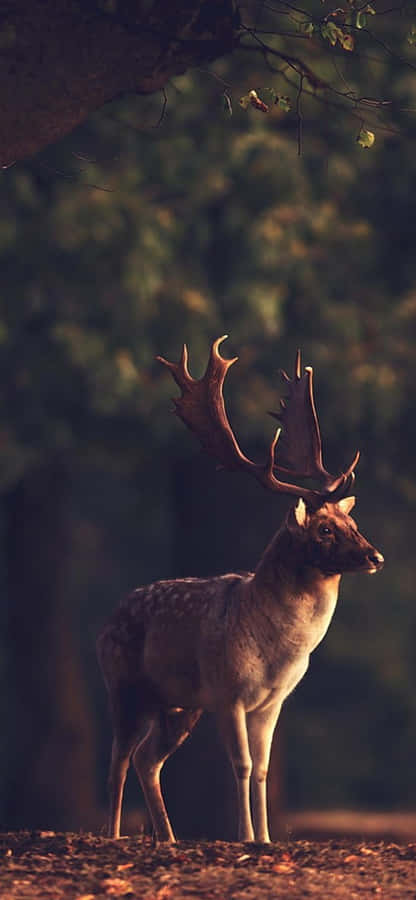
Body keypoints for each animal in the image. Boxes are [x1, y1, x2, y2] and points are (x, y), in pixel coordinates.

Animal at [97, 336, 384, 844]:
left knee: (148, 760)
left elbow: (265, 768)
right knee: (119, 762)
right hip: (124, 685)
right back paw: (114, 835)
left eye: (352, 523)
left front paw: (266, 838)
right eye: (324, 530)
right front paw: (245, 837)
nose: (375, 557)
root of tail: (104, 623)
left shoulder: (272, 701)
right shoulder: (228, 691)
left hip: (179, 705)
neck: (278, 652)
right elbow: (243, 764)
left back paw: (169, 838)